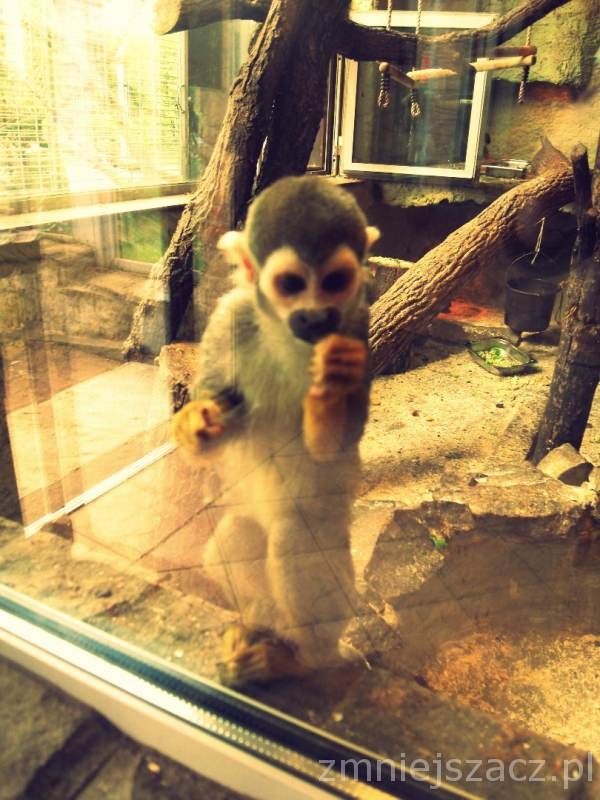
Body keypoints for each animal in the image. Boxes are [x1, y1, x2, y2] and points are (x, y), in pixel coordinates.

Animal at [172, 175, 380, 687]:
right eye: (291, 284)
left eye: (334, 283)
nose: (316, 317)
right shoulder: (229, 315)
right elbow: (215, 429)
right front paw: (192, 425)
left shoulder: (356, 324)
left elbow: (334, 449)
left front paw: (329, 389)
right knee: (232, 537)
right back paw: (260, 620)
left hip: (339, 585)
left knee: (292, 536)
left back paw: (303, 657)